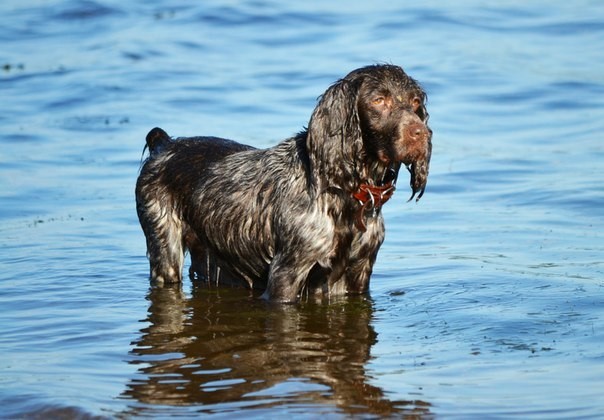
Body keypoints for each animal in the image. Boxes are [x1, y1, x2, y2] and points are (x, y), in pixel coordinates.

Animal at [135, 64, 432, 302]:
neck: (343, 190)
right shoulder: (287, 273)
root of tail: (164, 145)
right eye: (379, 100)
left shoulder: (360, 272)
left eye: (416, 101)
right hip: (164, 249)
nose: (422, 133)